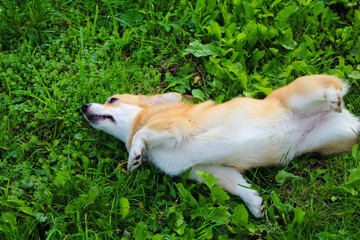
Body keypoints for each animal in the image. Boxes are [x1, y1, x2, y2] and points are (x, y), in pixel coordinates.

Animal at [82, 75, 360, 218]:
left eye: (112, 100)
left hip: (303, 96)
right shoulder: (210, 170)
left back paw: (333, 97)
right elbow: (238, 186)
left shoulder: (173, 128)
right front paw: (254, 203)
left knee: (333, 86)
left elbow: (141, 133)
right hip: (340, 136)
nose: (83, 107)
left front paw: (134, 156)